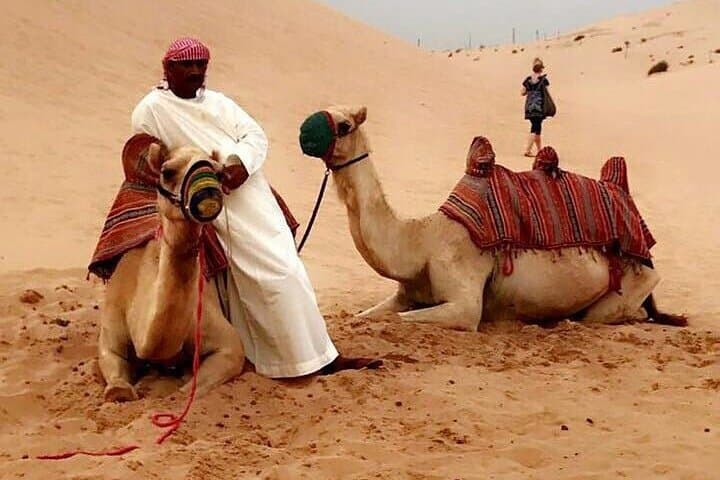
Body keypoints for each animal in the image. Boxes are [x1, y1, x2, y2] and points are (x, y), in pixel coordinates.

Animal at [98, 144, 245, 402]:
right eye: (167, 172)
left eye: (219, 173)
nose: (207, 192)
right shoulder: (111, 327)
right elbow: (117, 384)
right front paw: (123, 389)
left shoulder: (228, 345)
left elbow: (187, 391)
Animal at [309, 105, 686, 331]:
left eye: (344, 124)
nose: (305, 133)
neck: (421, 241)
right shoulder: (405, 293)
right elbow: (365, 316)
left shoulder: (463, 300)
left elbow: (406, 320)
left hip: (634, 283)